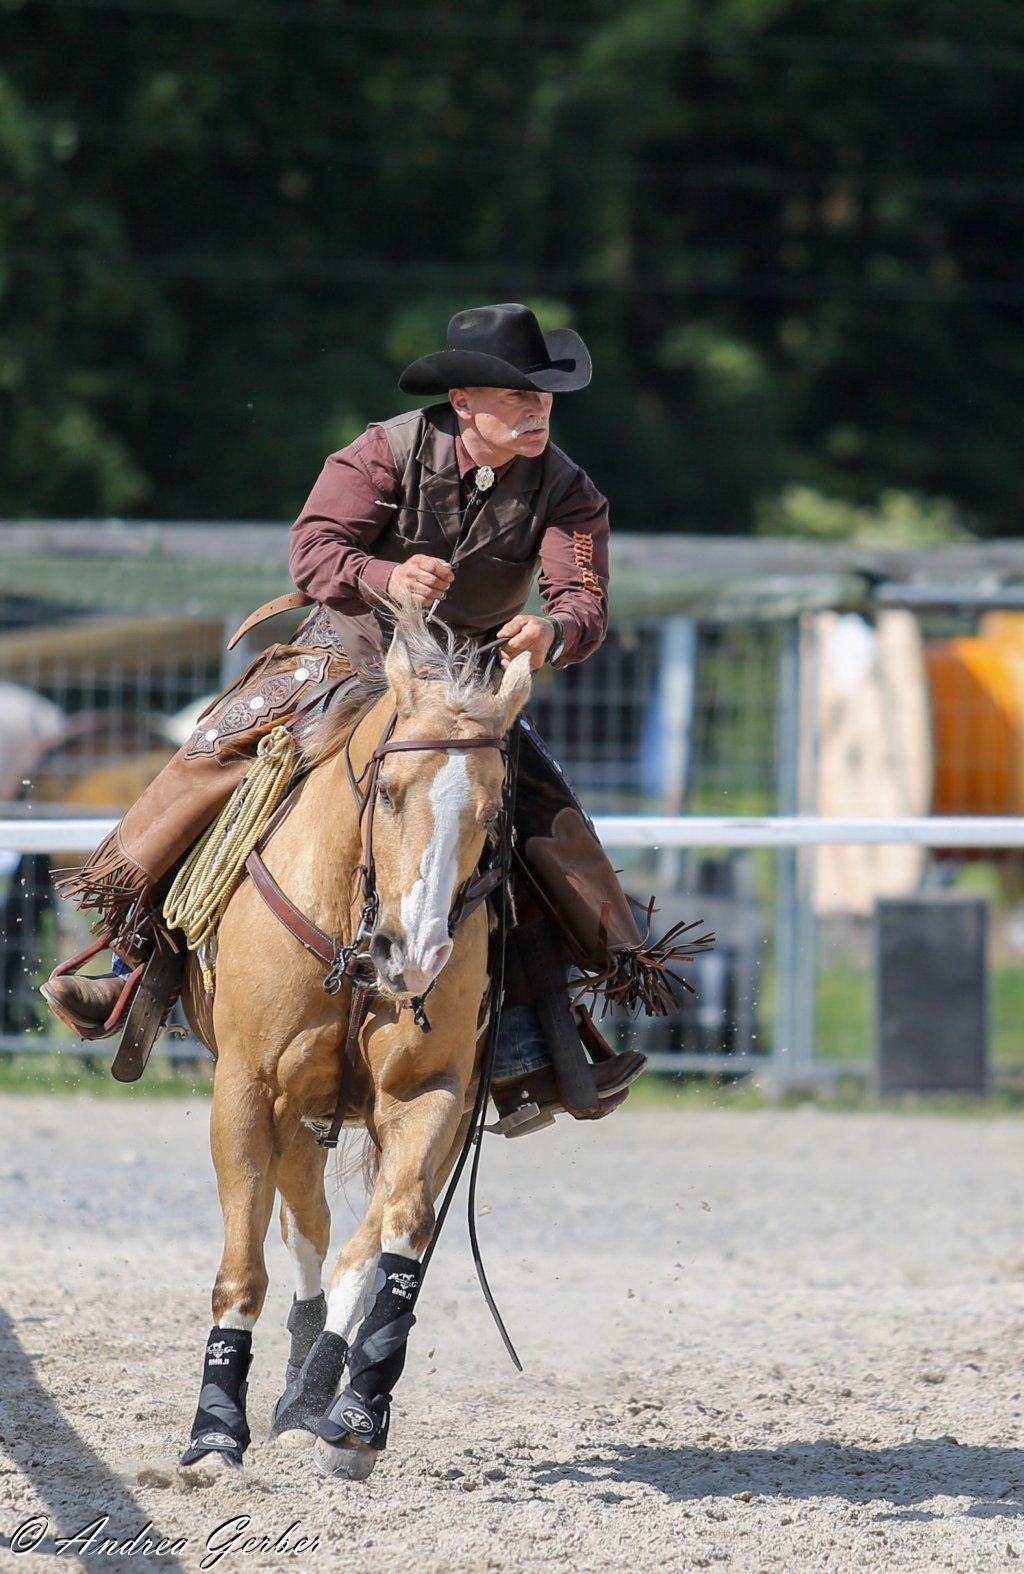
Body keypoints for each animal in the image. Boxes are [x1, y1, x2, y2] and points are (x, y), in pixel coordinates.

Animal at [177, 604, 532, 1480]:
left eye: (492, 812)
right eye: (391, 791)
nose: (419, 956)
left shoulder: (432, 1095)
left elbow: (391, 1240)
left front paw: (353, 1413)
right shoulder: (245, 1090)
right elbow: (245, 1266)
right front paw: (215, 1431)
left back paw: (314, 1390)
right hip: (295, 1112)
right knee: (299, 1219)